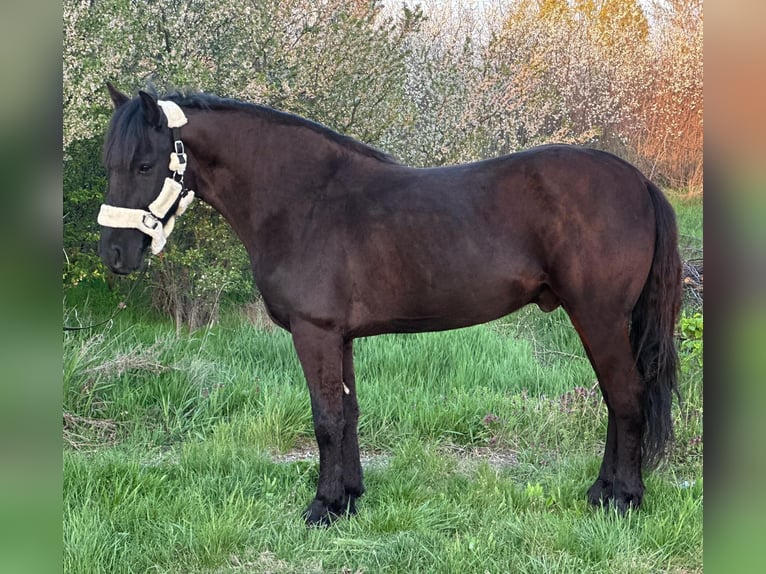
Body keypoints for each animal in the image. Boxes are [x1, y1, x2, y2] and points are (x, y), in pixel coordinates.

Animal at [98, 84, 681, 525]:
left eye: (145, 164)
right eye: (110, 164)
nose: (115, 254)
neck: (303, 200)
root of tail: (637, 179)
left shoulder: (314, 332)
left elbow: (326, 418)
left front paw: (323, 507)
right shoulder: (339, 336)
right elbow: (348, 413)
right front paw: (350, 498)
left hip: (598, 318)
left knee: (625, 397)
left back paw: (623, 499)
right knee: (616, 399)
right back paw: (602, 491)